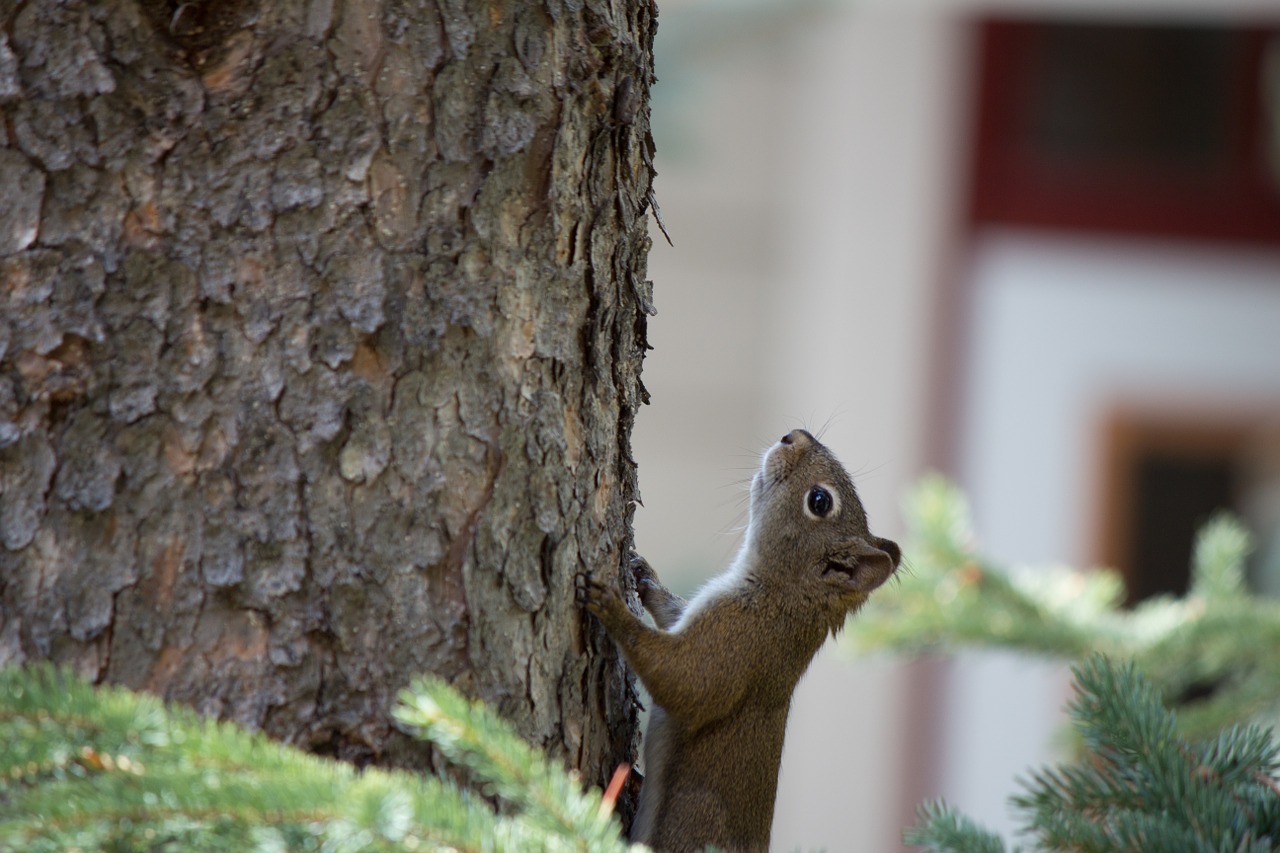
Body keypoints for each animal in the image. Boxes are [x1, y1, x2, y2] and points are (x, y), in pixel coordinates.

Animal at [581, 432, 901, 850]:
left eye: (820, 501)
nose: (794, 436)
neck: (784, 597)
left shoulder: (738, 640)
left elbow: (687, 683)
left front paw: (613, 608)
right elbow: (673, 613)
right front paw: (643, 575)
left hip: (694, 819)